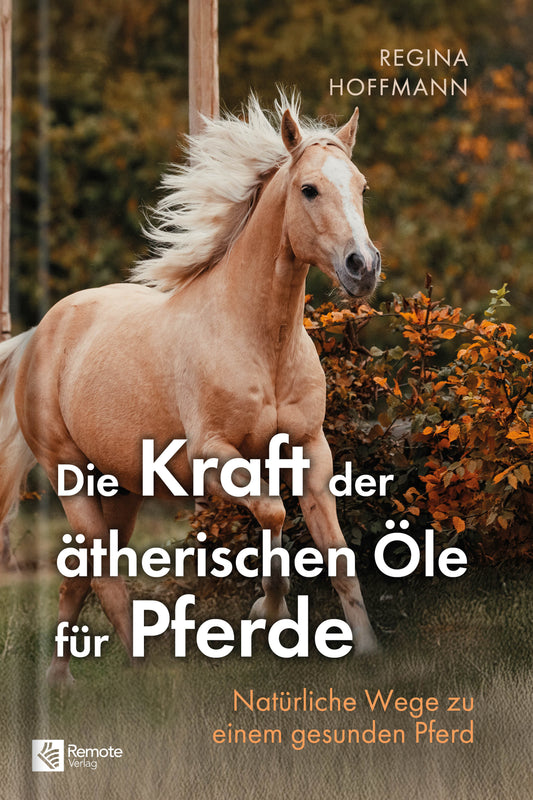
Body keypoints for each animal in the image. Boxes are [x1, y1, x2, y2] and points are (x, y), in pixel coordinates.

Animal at [0, 95, 381, 683]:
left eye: (360, 186)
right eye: (308, 189)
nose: (362, 267)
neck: (260, 344)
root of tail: (39, 334)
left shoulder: (310, 451)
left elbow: (336, 554)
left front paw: (366, 650)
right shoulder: (213, 457)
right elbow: (273, 513)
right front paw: (267, 611)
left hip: (121, 488)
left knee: (80, 575)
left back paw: (61, 680)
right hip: (69, 475)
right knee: (103, 576)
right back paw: (143, 673)